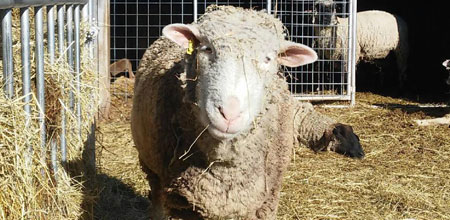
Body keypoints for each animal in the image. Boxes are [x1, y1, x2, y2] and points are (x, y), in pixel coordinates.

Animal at [132, 5, 364, 220]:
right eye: (207, 49)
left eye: (269, 59)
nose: (229, 115)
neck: (223, 170)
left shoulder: (266, 202)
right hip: (151, 169)